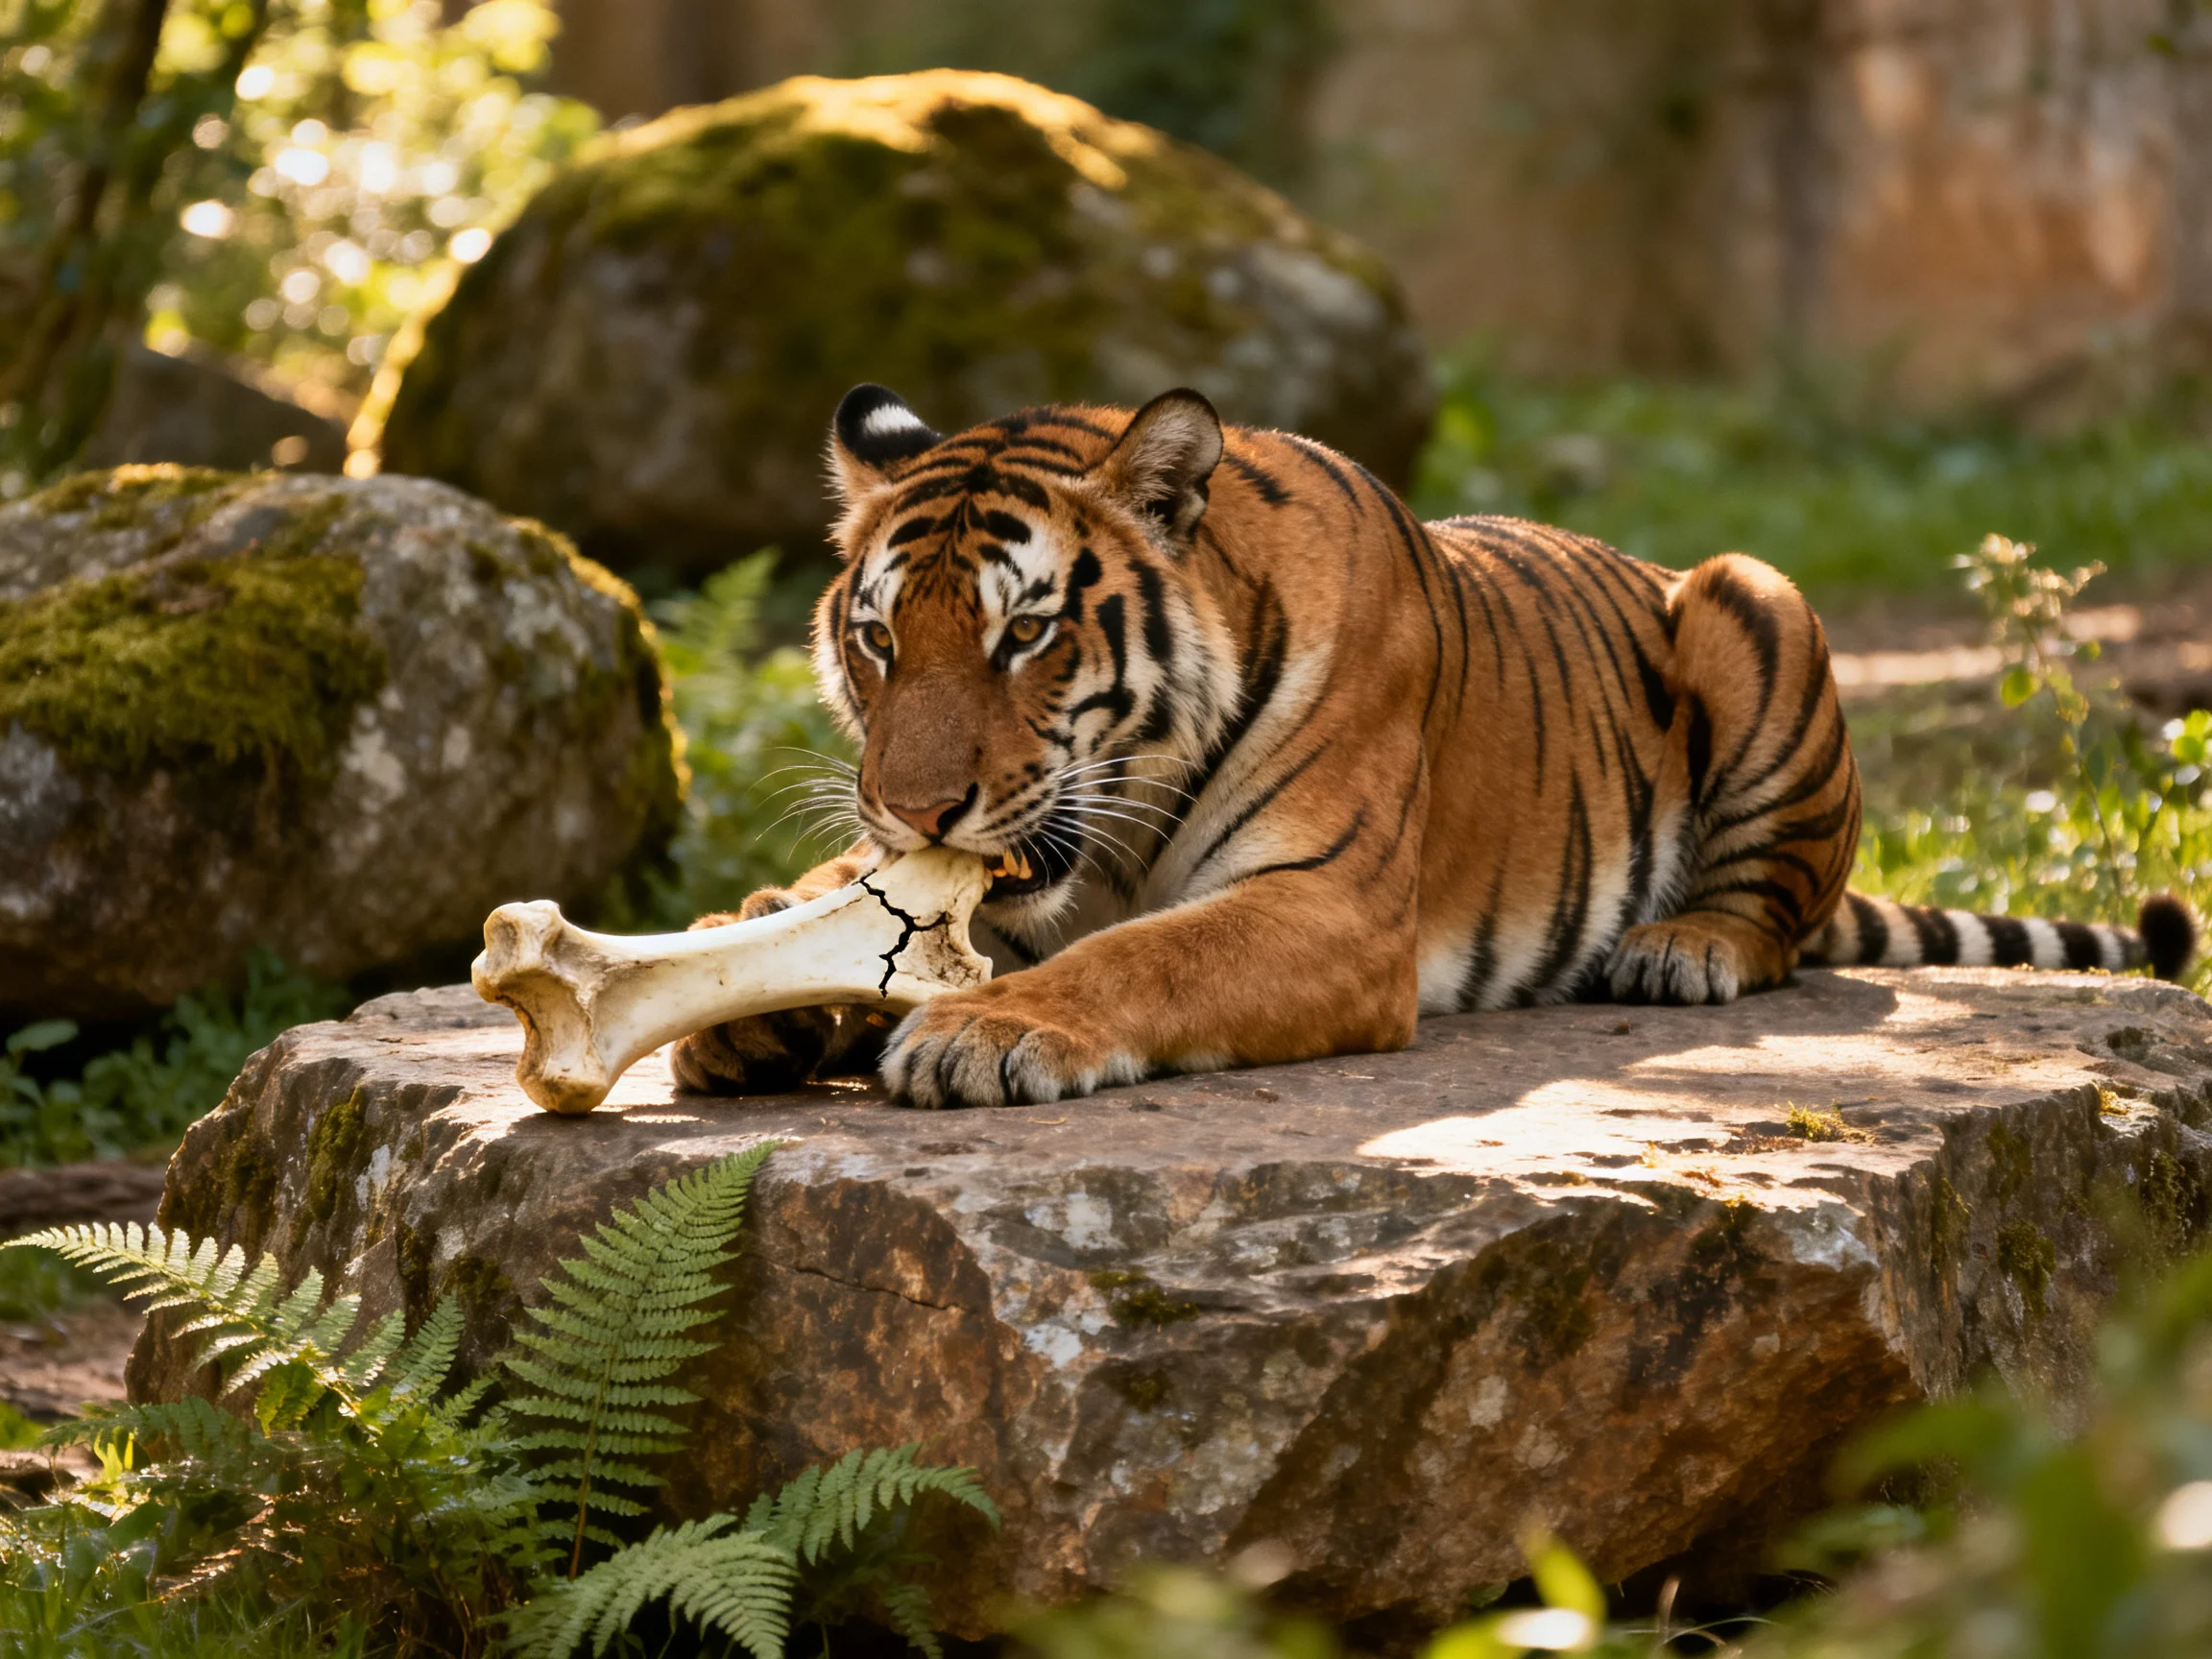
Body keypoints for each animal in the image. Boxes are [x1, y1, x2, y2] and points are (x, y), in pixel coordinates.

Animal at [670, 384, 2196, 1109]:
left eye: (1025, 634)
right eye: (880, 640)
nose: (915, 810)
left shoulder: (1332, 907)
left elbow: (1146, 956)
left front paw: (984, 1032)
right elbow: (821, 914)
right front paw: (747, 999)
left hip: (1750, 594)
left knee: (1780, 912)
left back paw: (1683, 947)